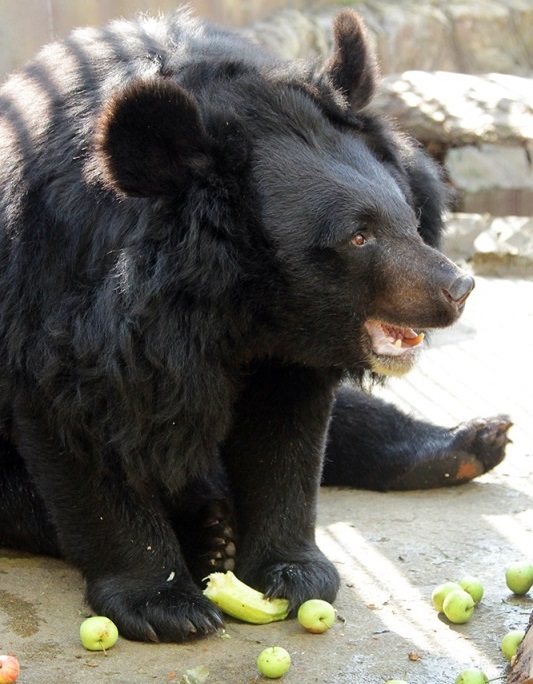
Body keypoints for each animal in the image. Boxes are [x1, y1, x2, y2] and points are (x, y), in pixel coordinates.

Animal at [0, 9, 508, 640]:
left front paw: (292, 574)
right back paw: (207, 533)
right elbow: (78, 421)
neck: (237, 303)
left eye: (409, 215)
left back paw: (472, 442)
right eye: (358, 237)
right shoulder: (55, 292)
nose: (457, 288)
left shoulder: (296, 339)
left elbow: (287, 434)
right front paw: (166, 604)